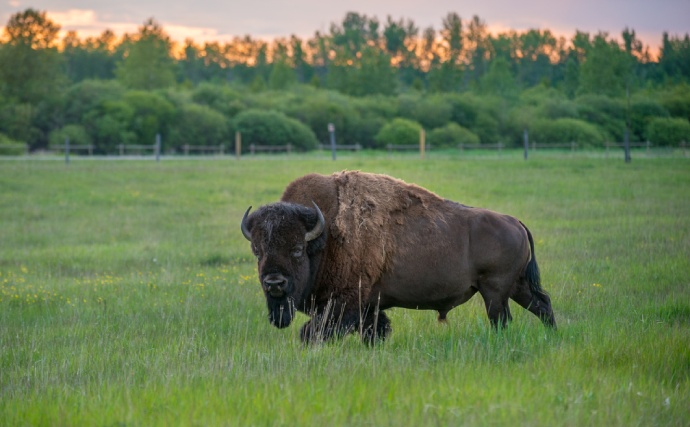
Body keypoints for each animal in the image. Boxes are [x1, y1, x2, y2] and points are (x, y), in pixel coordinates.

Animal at [241, 171, 552, 344]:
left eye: (296, 249)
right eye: (258, 250)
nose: (274, 283)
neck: (325, 235)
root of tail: (515, 222)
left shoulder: (345, 303)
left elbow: (312, 332)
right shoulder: (369, 307)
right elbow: (375, 330)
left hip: (495, 290)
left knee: (502, 318)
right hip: (516, 286)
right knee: (542, 305)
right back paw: (554, 335)